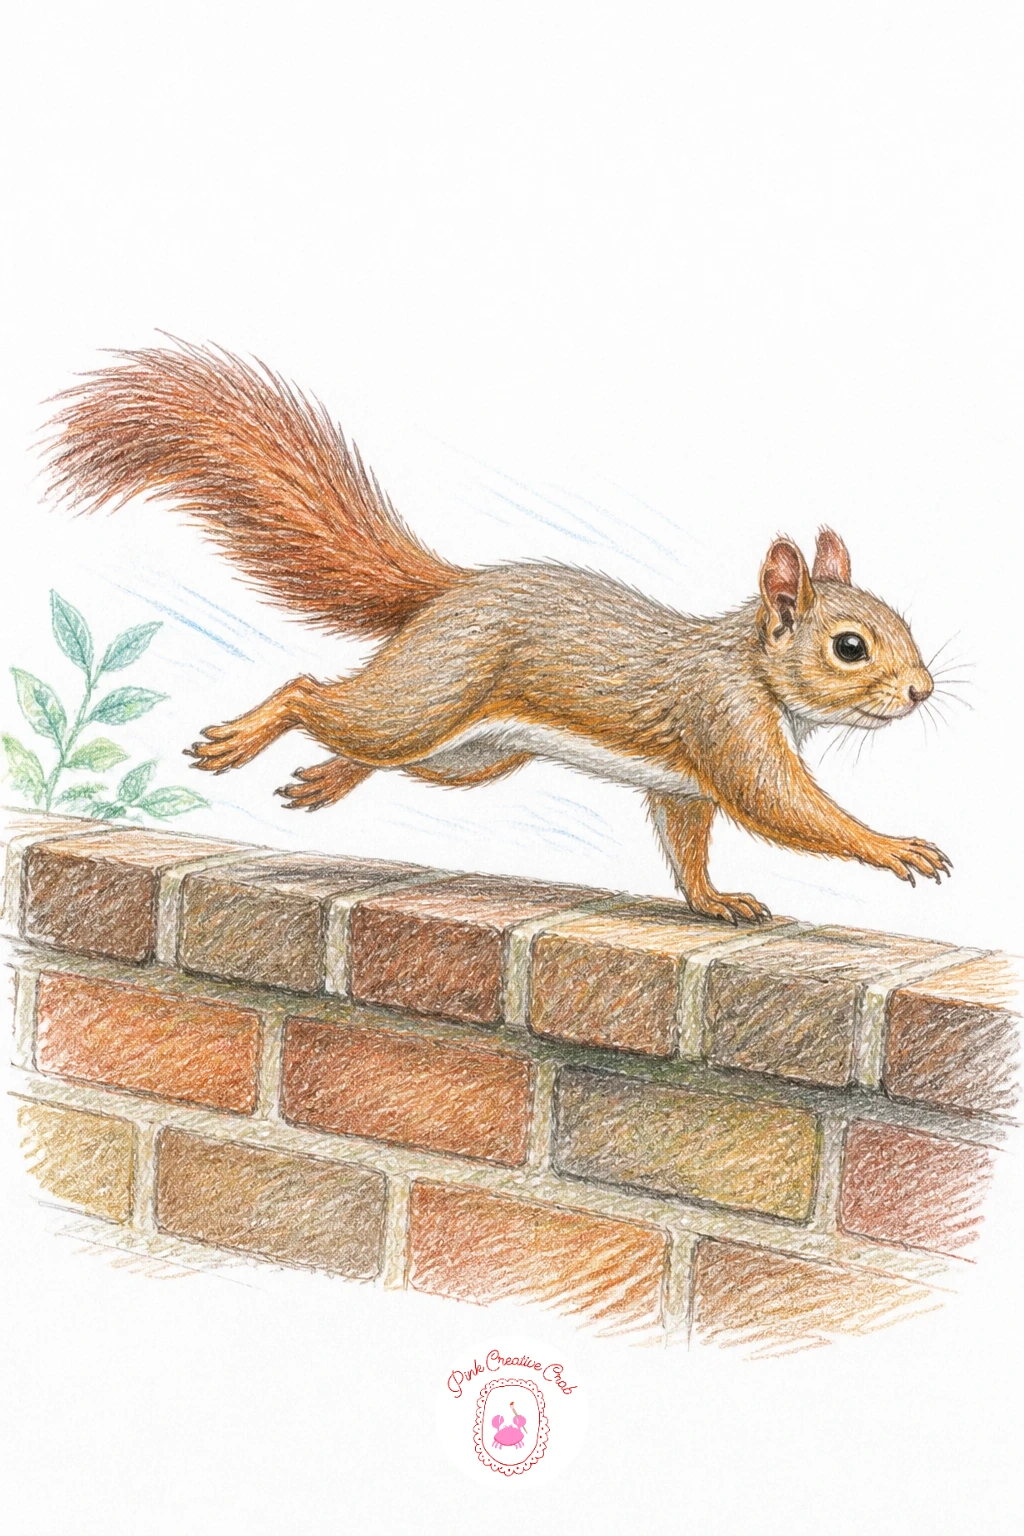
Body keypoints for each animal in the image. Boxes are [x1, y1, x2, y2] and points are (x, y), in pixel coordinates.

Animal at [43, 339, 950, 924]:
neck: (752, 666)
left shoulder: (685, 781)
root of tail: (453, 589)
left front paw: (715, 899)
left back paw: (327, 779)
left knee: (373, 743)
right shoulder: (723, 719)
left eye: (905, 626)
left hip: (469, 753)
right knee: (314, 695)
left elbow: (687, 841)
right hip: (431, 696)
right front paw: (892, 846)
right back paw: (246, 736)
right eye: (850, 646)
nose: (923, 690)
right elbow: (786, 808)